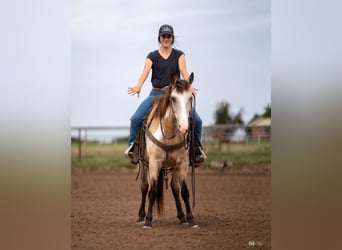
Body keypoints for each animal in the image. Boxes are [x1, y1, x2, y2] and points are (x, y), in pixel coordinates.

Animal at [134, 72, 198, 229]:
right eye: (173, 98)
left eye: (190, 98)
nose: (183, 127)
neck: (168, 134)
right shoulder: (154, 163)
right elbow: (152, 191)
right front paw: (148, 221)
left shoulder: (182, 164)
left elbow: (184, 192)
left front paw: (191, 219)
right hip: (143, 165)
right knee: (144, 187)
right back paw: (141, 216)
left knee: (175, 188)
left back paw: (182, 217)